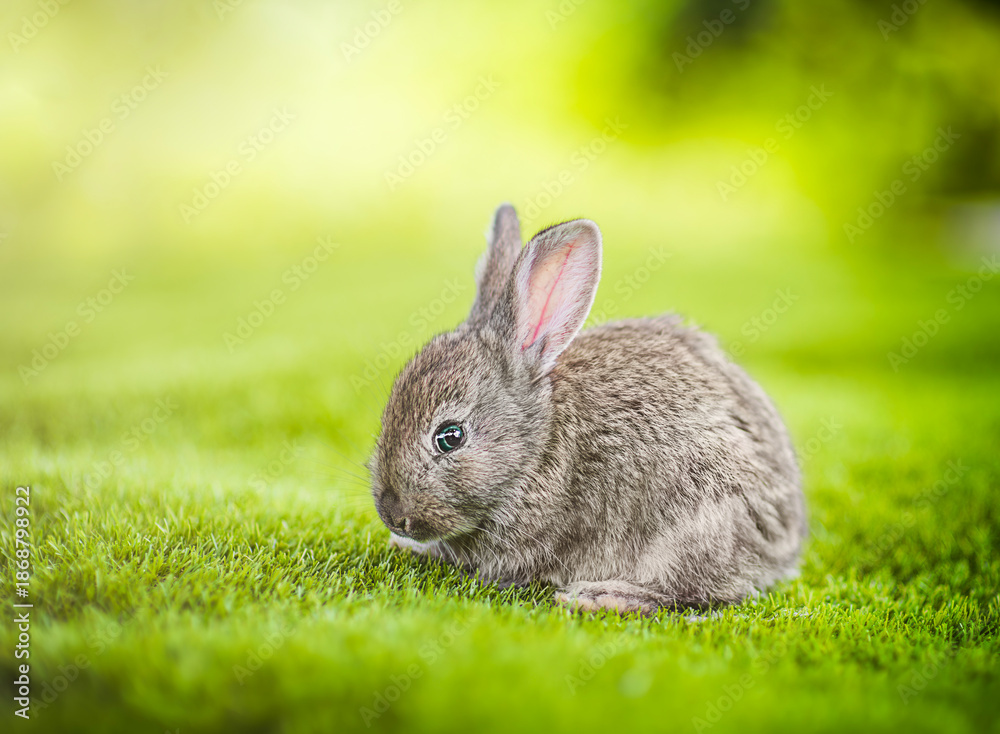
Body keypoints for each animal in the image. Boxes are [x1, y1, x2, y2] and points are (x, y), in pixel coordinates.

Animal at [369, 203, 807, 614]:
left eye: (450, 437)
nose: (392, 515)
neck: (536, 448)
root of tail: (783, 548)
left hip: (696, 521)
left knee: (695, 594)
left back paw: (603, 597)